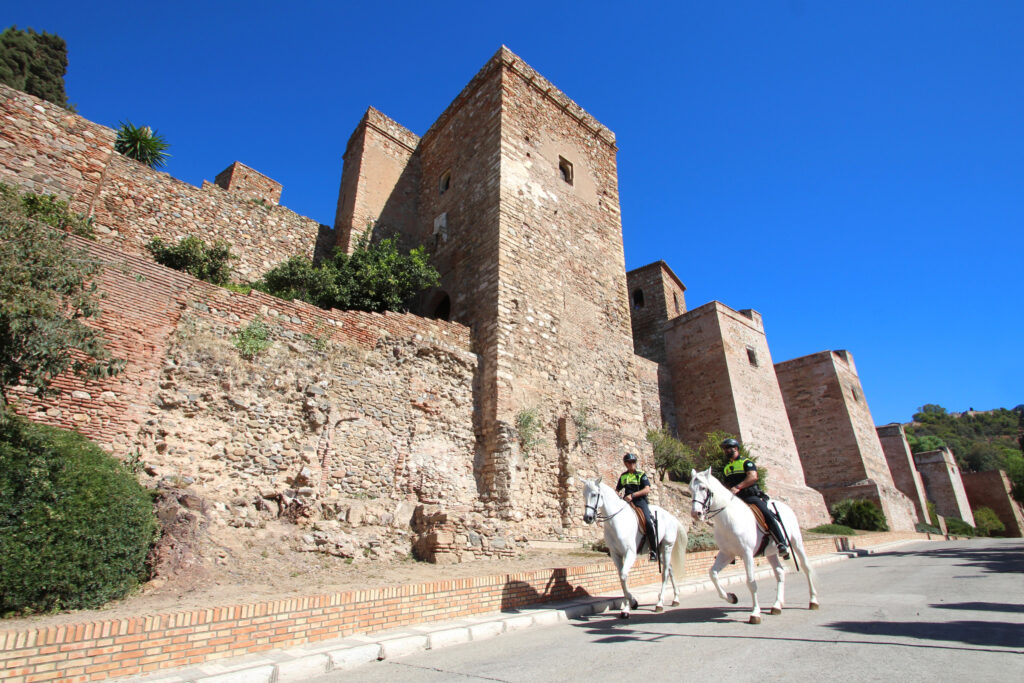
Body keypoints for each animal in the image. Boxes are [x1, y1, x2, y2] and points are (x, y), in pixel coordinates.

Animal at [577, 475, 688, 618]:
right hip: (660, 551)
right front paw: (632, 601)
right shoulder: (616, 554)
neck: (617, 521)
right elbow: (621, 578)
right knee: (670, 569)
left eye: (595, 494)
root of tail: (671, 516)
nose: (588, 518)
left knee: (665, 573)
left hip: (667, 547)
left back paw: (660, 603)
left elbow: (624, 576)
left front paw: (626, 609)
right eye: (583, 494)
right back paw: (675, 598)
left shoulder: (630, 553)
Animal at [688, 466, 815, 622]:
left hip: (797, 543)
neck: (728, 519)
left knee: (806, 567)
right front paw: (731, 597)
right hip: (771, 552)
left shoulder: (747, 553)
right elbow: (713, 574)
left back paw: (813, 601)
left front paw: (755, 613)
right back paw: (777, 605)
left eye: (703, 488)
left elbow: (751, 582)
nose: (696, 513)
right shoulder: (726, 553)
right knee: (779, 572)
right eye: (690, 489)